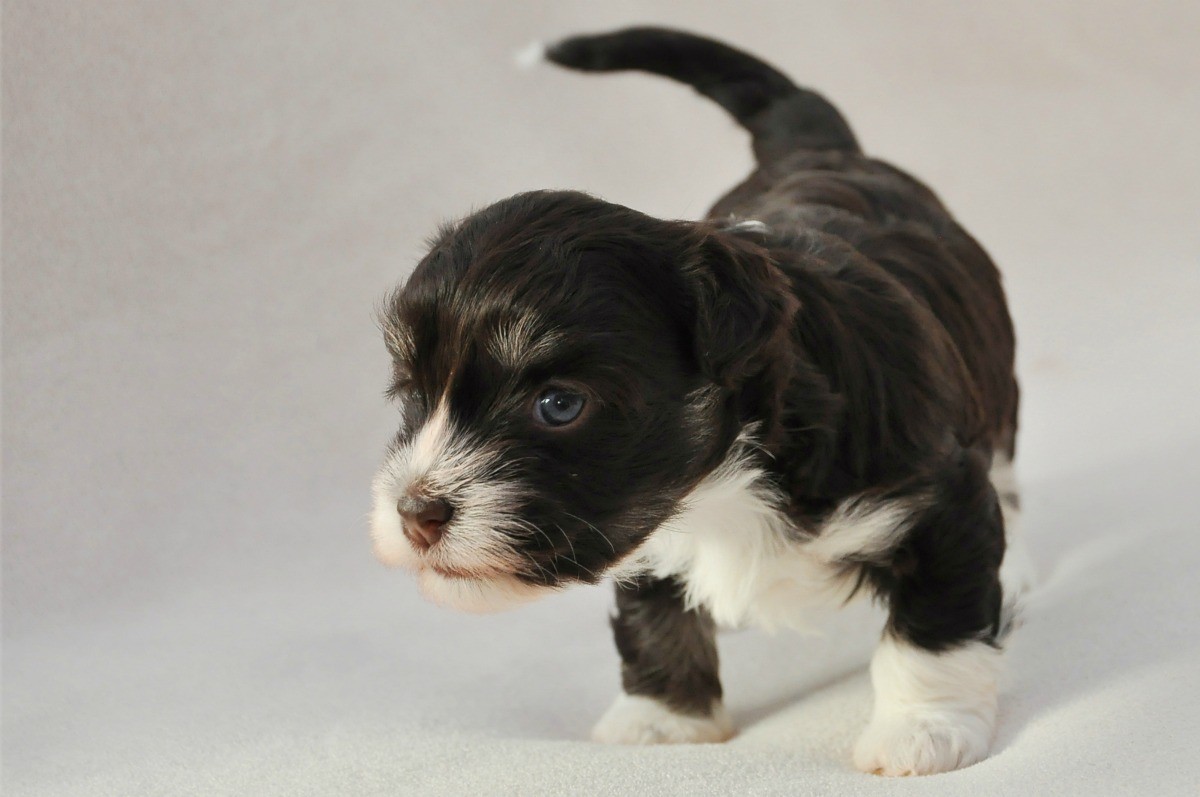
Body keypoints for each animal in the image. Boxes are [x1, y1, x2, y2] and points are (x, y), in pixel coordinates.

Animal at [372, 28, 1032, 772]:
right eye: (414, 393)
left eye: (559, 405)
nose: (415, 514)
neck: (729, 479)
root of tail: (819, 147)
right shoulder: (648, 521)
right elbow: (655, 616)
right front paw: (663, 722)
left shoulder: (938, 493)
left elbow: (934, 626)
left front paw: (922, 731)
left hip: (995, 378)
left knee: (1006, 470)